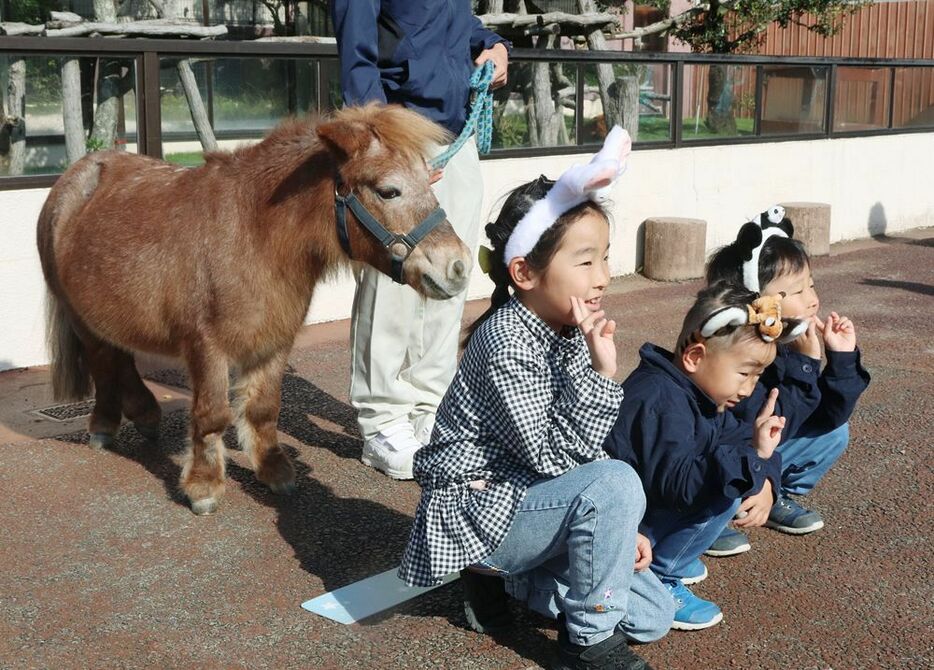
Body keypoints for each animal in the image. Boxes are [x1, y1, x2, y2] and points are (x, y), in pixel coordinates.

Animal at [36, 103, 472, 516]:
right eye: (388, 191)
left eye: (429, 182)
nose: (459, 266)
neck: (252, 234)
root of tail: (73, 177)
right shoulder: (206, 346)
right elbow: (212, 415)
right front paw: (204, 487)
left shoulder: (274, 341)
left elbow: (263, 409)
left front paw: (273, 471)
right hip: (79, 316)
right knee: (102, 360)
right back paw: (104, 426)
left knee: (120, 355)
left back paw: (144, 414)